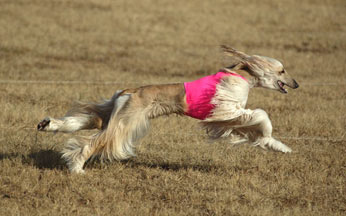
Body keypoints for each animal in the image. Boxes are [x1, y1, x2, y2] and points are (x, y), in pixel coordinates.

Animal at [36, 46, 298, 174]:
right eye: (282, 70)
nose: (296, 84)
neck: (243, 75)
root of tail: (130, 90)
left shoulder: (227, 118)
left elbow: (253, 129)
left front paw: (280, 147)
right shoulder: (226, 110)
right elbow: (261, 116)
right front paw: (269, 135)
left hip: (113, 113)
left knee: (89, 120)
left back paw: (48, 124)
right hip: (125, 121)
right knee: (94, 142)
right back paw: (77, 167)